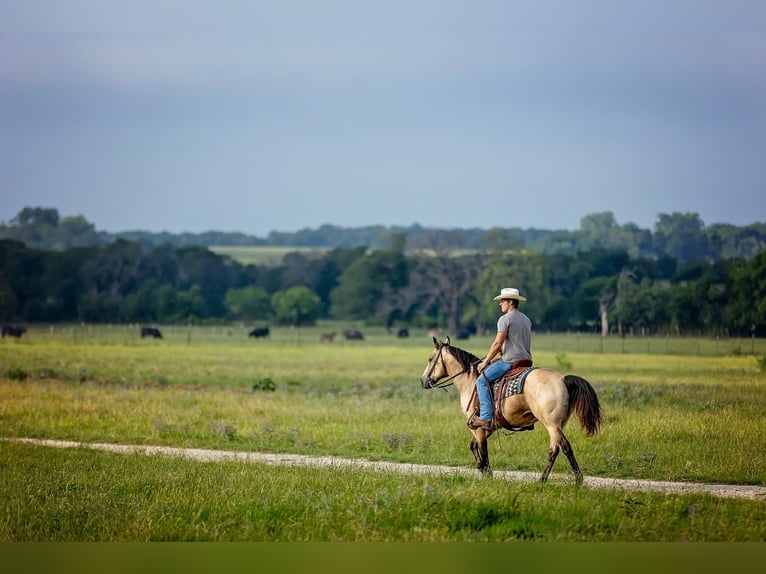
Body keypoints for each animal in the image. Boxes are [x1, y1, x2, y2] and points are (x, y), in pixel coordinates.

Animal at [420, 337, 602, 484]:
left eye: (430, 358)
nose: (423, 380)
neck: (469, 381)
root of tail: (563, 379)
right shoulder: (490, 426)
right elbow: (473, 446)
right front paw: (481, 467)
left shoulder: (479, 427)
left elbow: (482, 449)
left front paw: (487, 474)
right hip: (558, 425)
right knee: (554, 450)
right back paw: (542, 480)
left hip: (551, 424)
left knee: (565, 447)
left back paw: (578, 480)